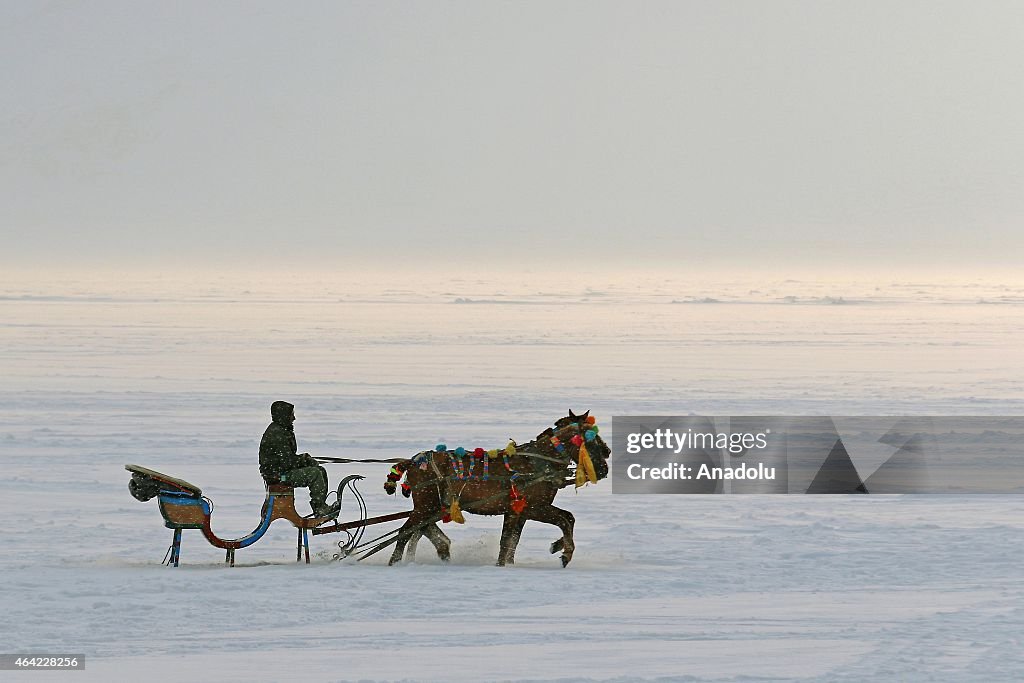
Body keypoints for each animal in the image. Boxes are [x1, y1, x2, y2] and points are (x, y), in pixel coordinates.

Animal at [382, 411, 606, 565]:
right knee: (406, 531)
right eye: (591, 440)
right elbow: (563, 520)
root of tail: (413, 461)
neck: (539, 463)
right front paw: (565, 553)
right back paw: (396, 563)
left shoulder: (519, 511)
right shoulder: (533, 507)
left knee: (420, 529)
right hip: (425, 505)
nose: (604, 466)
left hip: (432, 506)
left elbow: (511, 540)